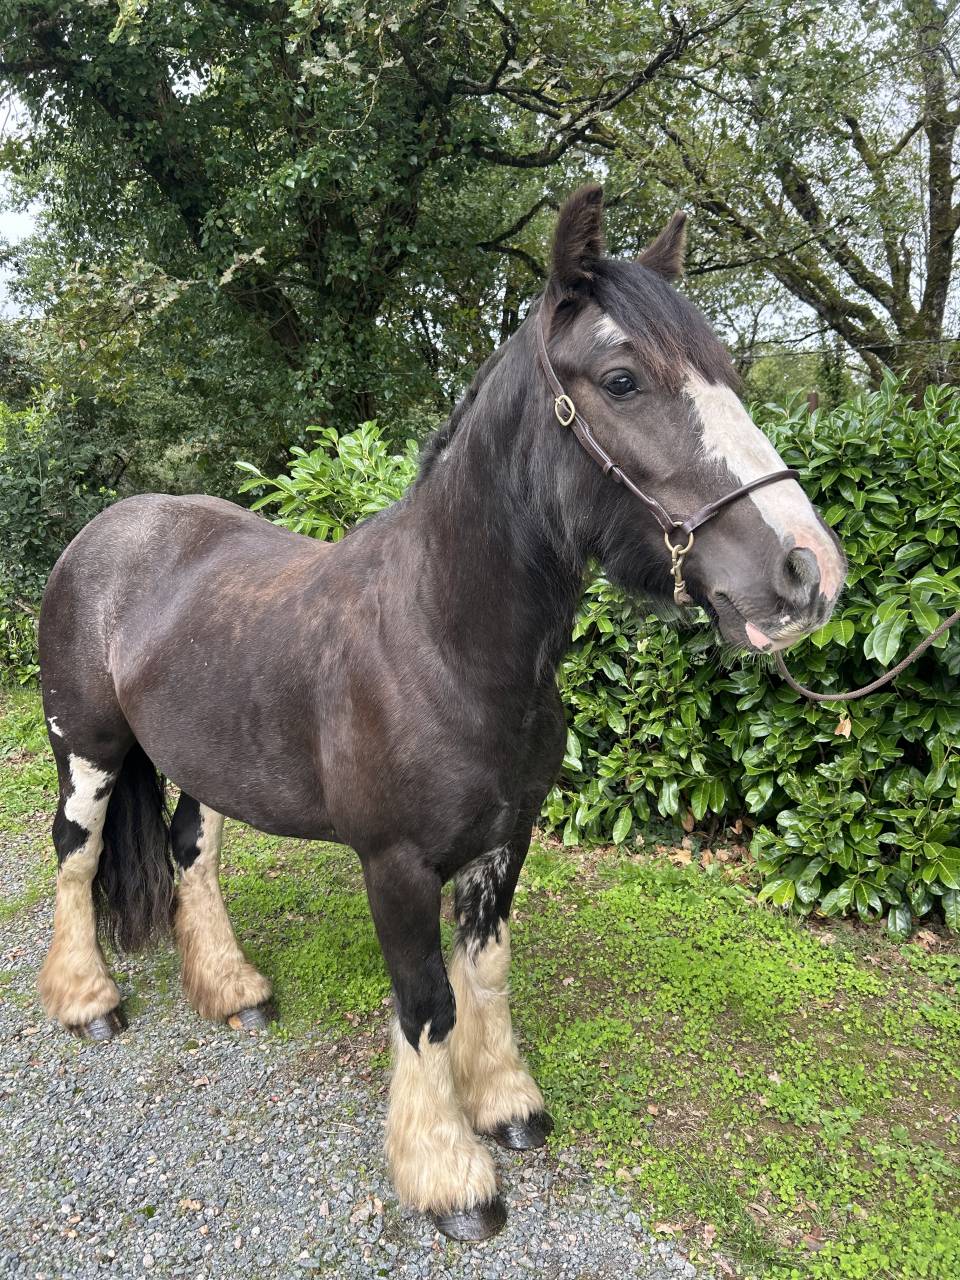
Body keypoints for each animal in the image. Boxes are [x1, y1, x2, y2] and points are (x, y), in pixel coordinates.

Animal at [36, 184, 846, 1242]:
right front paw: (449, 1175)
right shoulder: (396, 865)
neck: (443, 641)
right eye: (623, 379)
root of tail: (104, 532)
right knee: (75, 856)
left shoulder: (507, 840)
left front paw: (506, 1105)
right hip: (86, 749)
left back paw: (235, 992)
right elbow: (426, 1005)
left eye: (728, 374)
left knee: (190, 851)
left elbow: (486, 975)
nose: (808, 572)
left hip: (203, 760)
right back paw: (87, 1000)